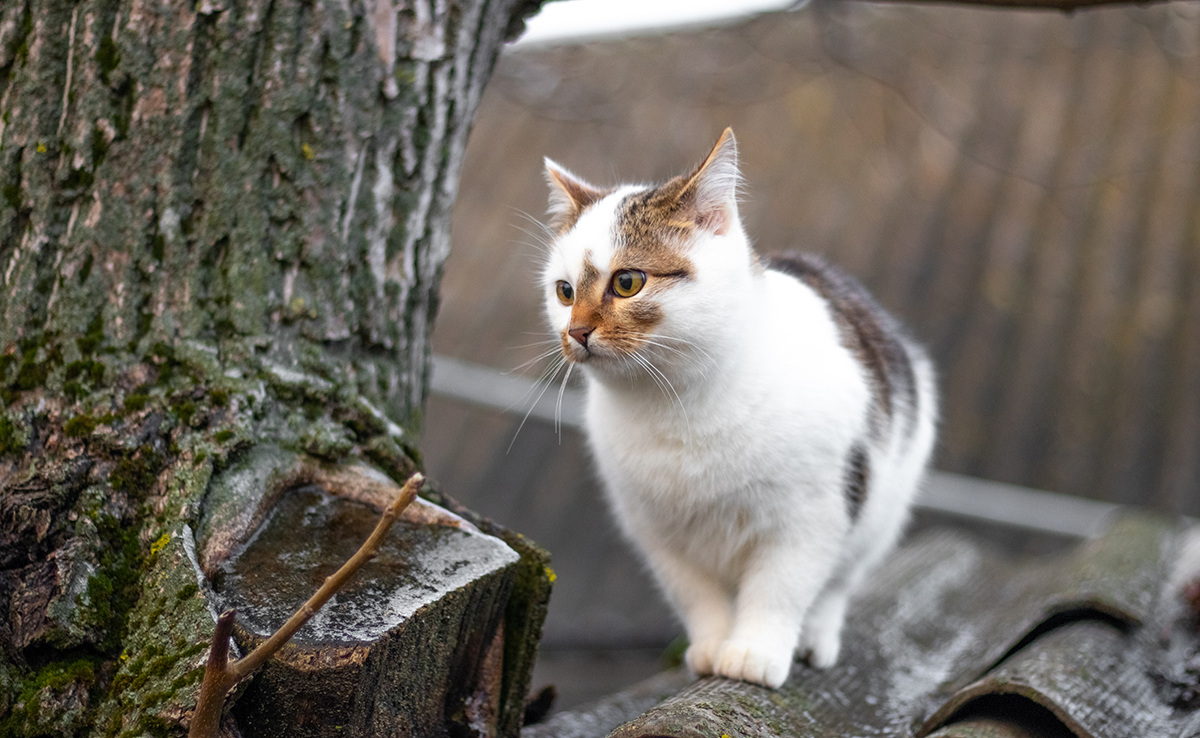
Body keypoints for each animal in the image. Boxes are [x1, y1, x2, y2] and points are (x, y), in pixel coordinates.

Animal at [537, 130, 936, 691]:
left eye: (627, 283)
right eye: (564, 291)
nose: (575, 332)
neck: (675, 404)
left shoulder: (812, 516)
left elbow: (780, 589)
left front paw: (754, 653)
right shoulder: (657, 532)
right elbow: (697, 596)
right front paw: (711, 647)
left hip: (881, 505)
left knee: (838, 582)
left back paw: (816, 636)